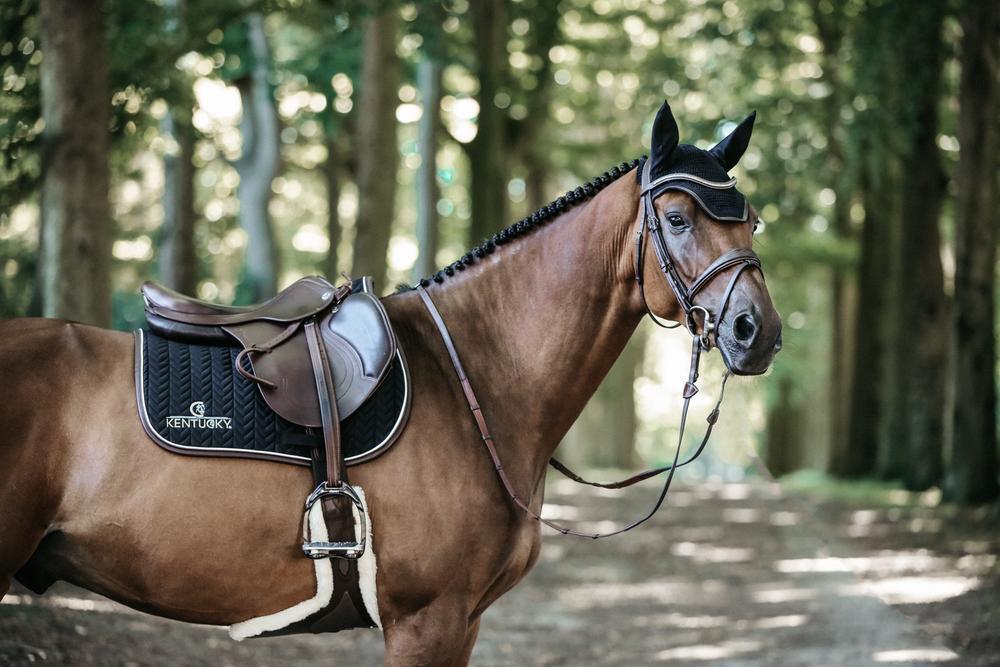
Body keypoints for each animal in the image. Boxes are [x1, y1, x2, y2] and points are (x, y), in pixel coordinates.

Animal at [0, 102, 781, 665]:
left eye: (752, 221)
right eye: (676, 218)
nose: (758, 331)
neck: (475, 373)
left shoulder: (460, 622)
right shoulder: (426, 620)